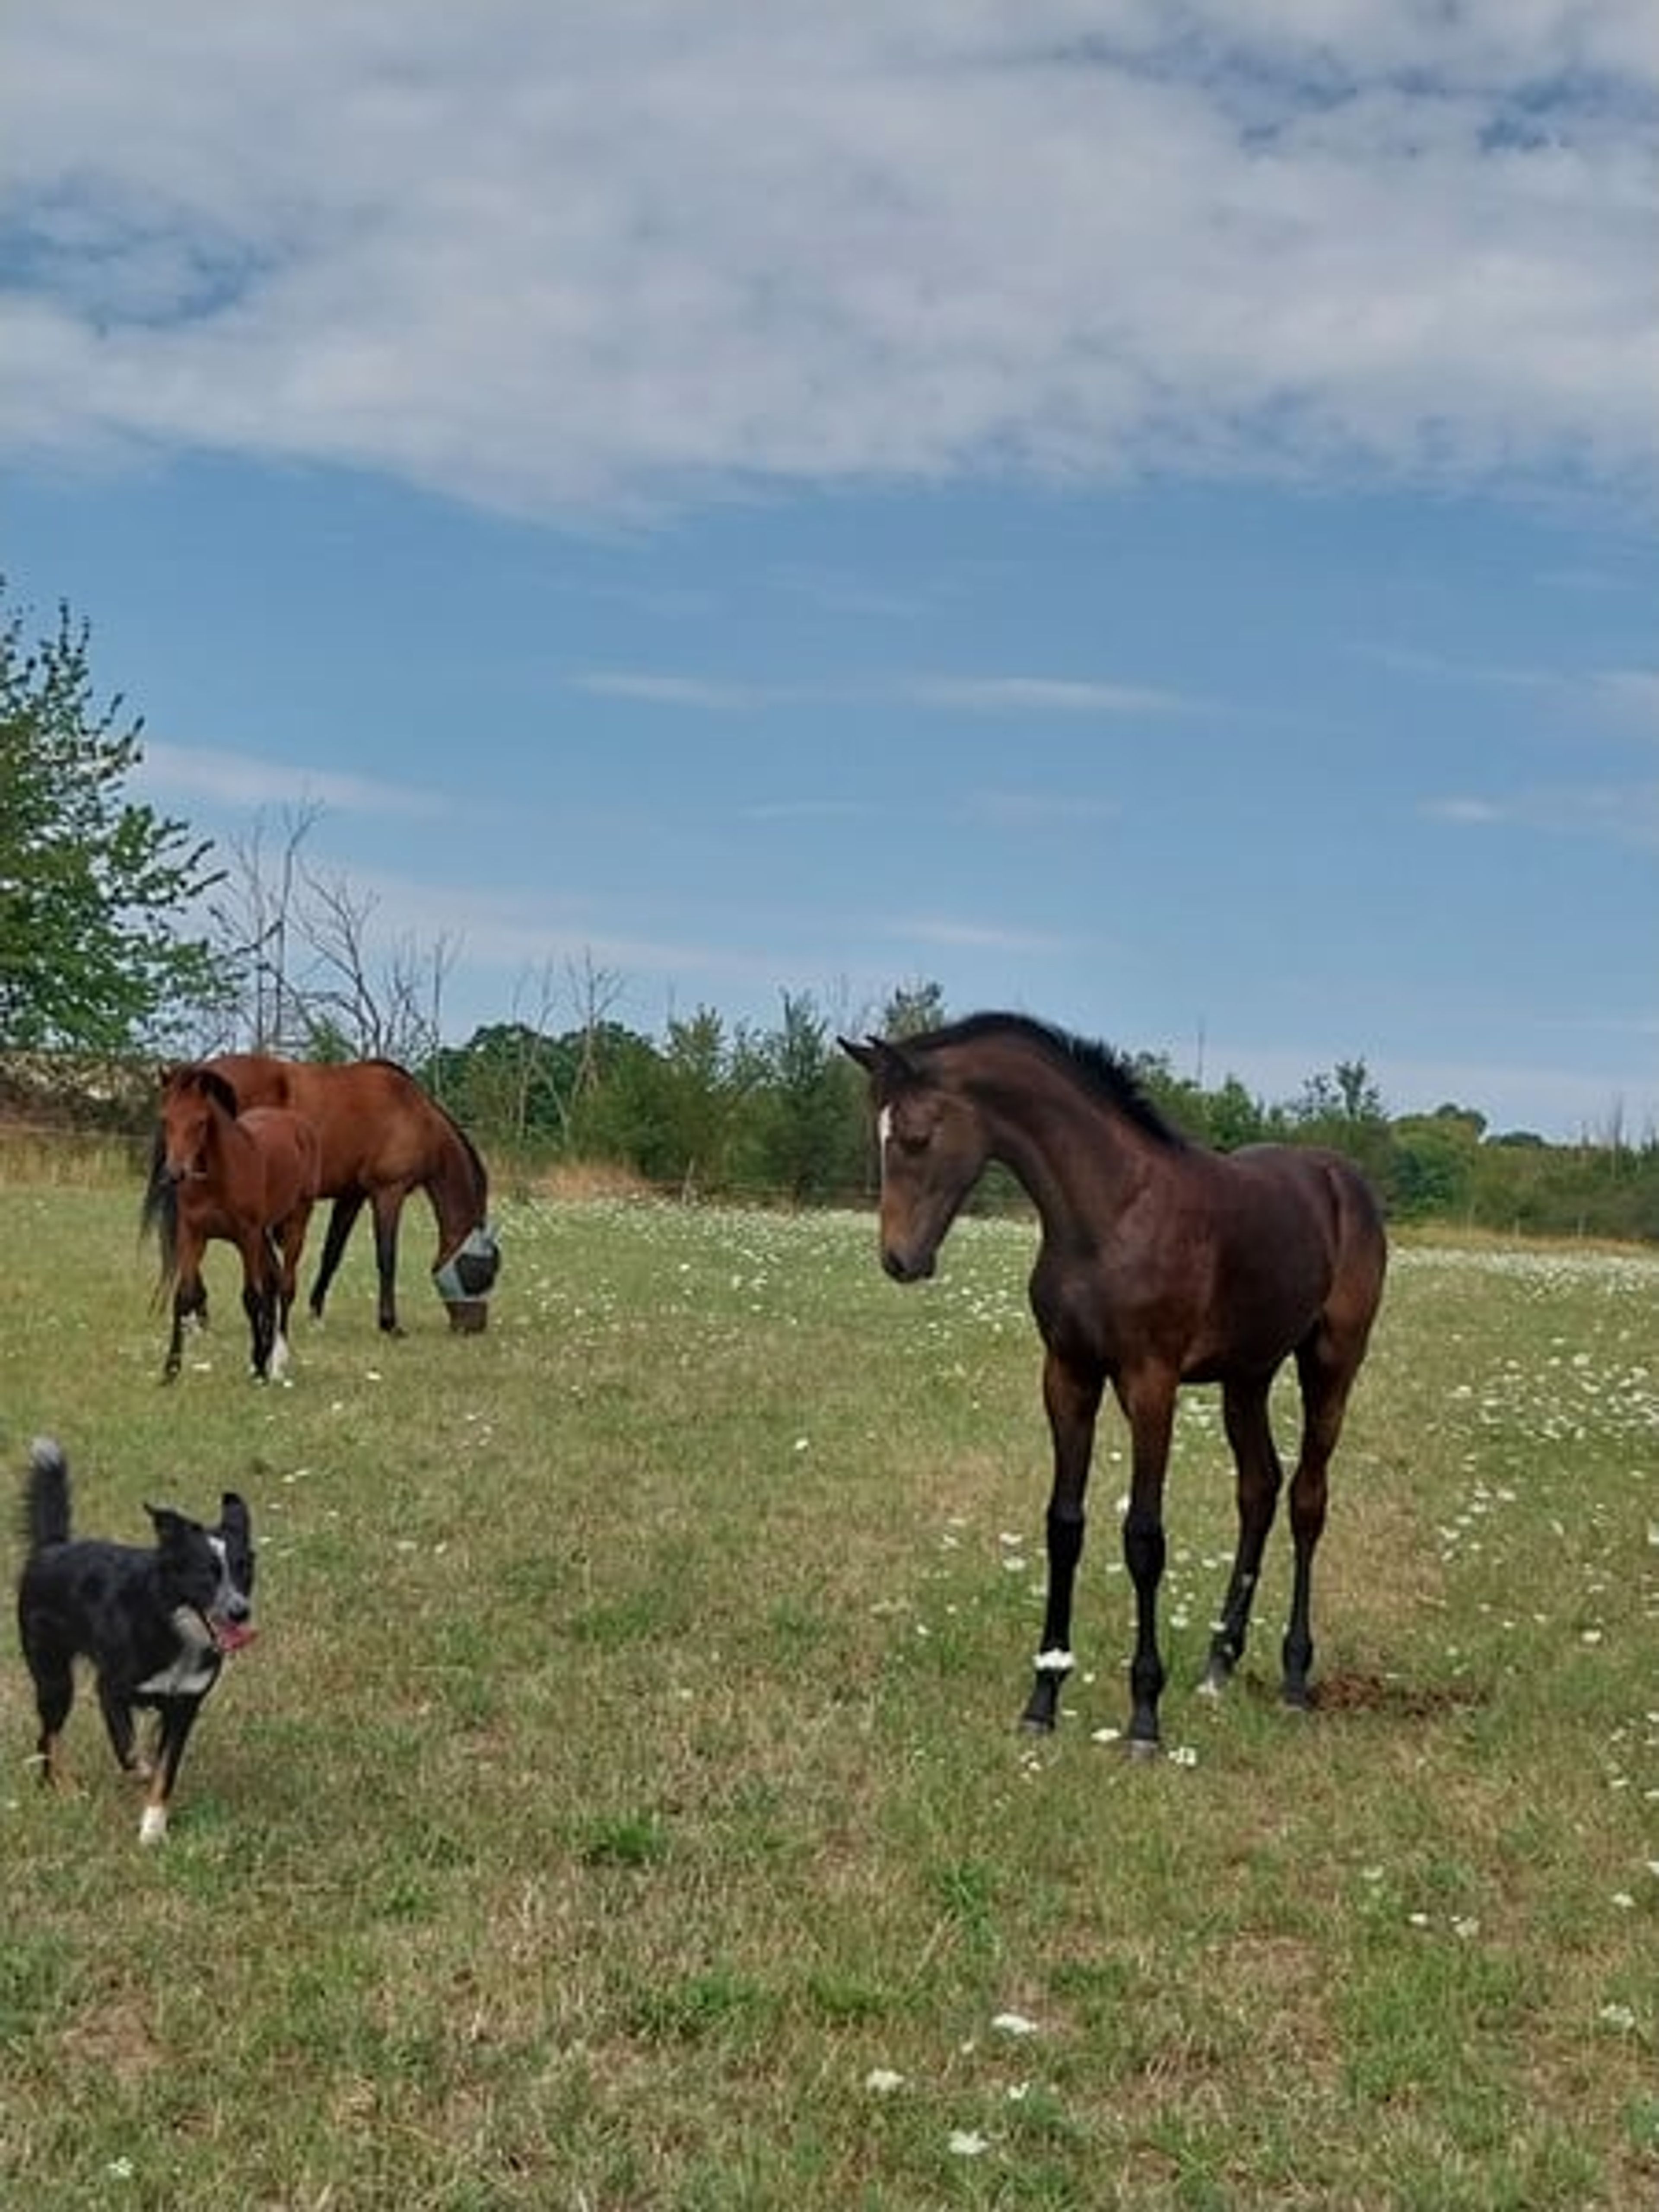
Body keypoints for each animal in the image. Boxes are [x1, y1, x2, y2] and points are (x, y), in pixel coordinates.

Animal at [141, 1065, 321, 1384]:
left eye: (200, 1121)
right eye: (165, 1118)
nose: (174, 1174)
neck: (217, 1177)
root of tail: (299, 1126)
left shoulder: (246, 1237)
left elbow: (251, 1297)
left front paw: (260, 1368)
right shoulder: (194, 1236)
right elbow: (184, 1296)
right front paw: (171, 1370)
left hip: (295, 1223)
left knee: (286, 1286)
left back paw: (277, 1360)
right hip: (263, 1236)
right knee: (274, 1280)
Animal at [161, 1055, 500, 1336]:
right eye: (485, 1272)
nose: (474, 1327)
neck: (413, 1113)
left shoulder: (352, 1196)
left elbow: (332, 1254)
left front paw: (315, 1313)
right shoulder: (388, 1192)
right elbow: (387, 1257)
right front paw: (389, 1323)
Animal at [840, 1013, 1388, 1754]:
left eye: (918, 1138)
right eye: (880, 1134)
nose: (900, 1260)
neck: (1111, 1213)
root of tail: (1343, 1178)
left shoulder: (1150, 1383)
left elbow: (1145, 1539)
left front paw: (1144, 1716)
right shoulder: (1068, 1374)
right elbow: (1064, 1525)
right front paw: (1043, 1697)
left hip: (1332, 1362)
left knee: (1307, 1499)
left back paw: (1296, 1678)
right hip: (1247, 1376)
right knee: (1259, 1488)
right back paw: (1219, 1663)